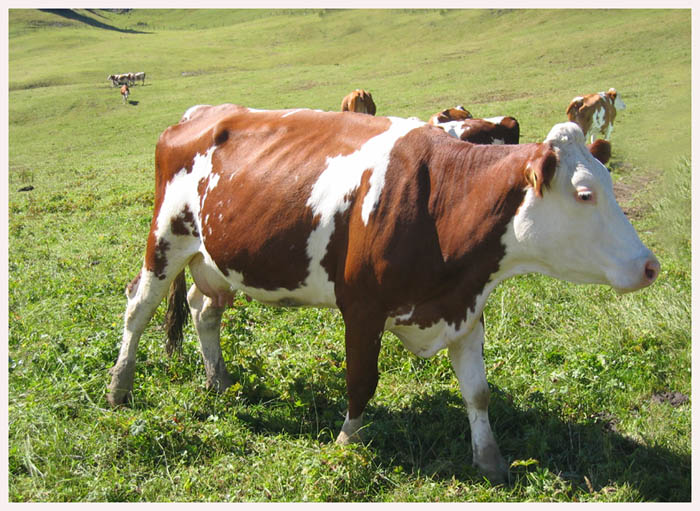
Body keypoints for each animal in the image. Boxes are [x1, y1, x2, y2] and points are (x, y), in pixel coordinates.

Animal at [106, 107, 660, 484]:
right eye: (585, 193)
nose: (650, 265)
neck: (443, 203)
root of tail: (202, 112)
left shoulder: (467, 307)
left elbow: (478, 392)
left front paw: (491, 461)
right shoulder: (362, 308)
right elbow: (361, 381)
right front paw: (345, 443)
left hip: (216, 258)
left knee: (204, 310)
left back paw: (219, 381)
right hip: (166, 238)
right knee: (138, 308)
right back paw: (119, 389)